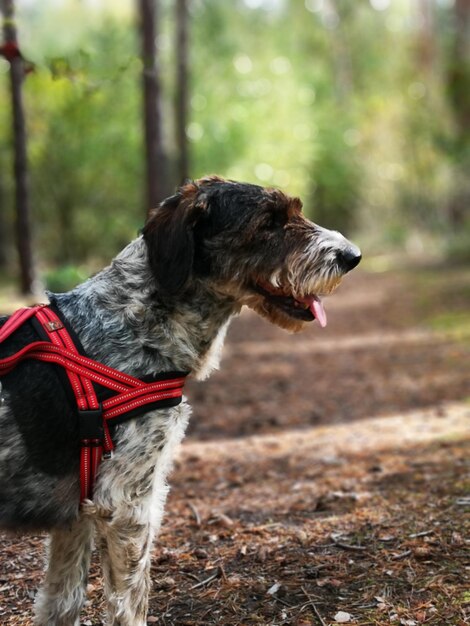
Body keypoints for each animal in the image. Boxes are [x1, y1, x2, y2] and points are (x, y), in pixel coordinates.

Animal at [0, 177, 362, 624]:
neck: (137, 315)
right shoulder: (126, 505)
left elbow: (61, 602)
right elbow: (130, 604)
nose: (353, 255)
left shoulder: (78, 513)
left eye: (295, 211)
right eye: (269, 222)